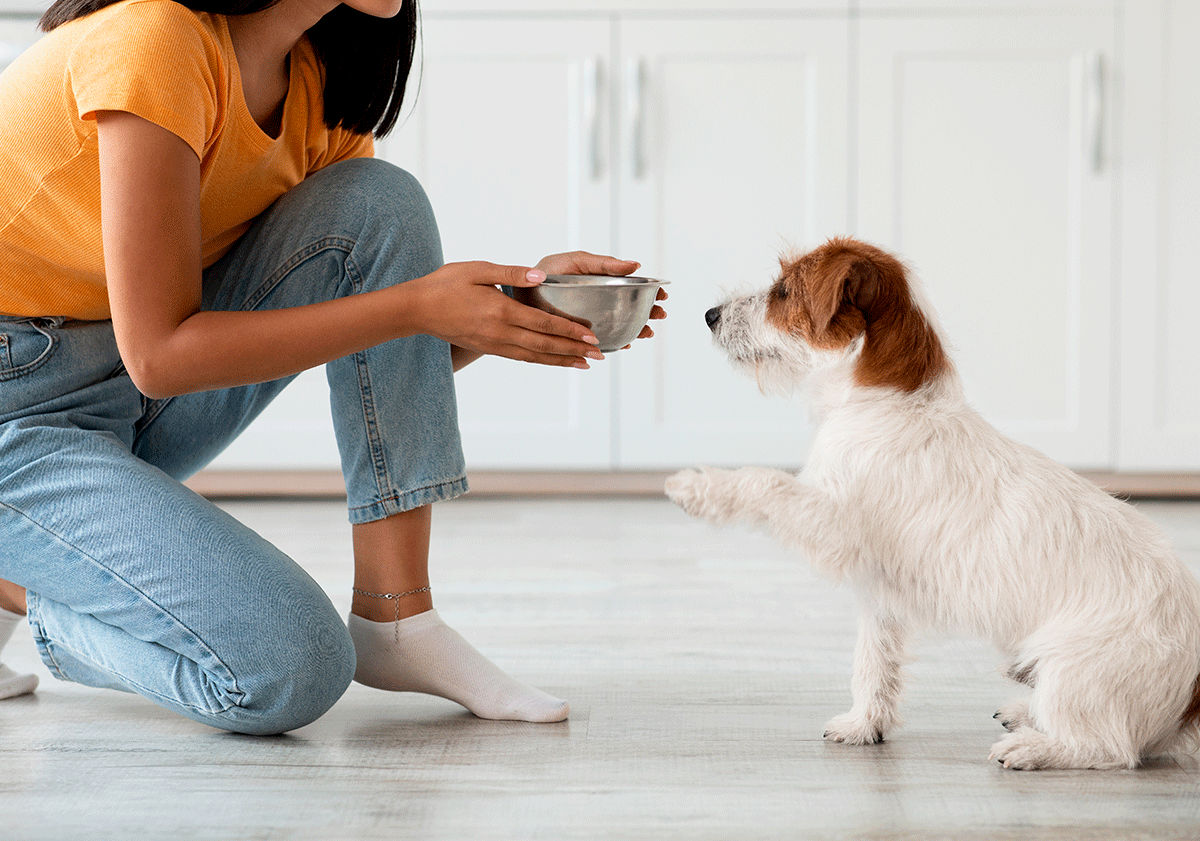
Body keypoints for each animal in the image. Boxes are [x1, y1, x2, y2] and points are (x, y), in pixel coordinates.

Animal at [667, 235, 1200, 767]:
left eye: (782, 291)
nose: (710, 314)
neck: (886, 401)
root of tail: (1191, 697)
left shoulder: (833, 524)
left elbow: (766, 482)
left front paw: (696, 487)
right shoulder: (879, 591)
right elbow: (873, 660)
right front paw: (865, 724)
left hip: (1074, 669)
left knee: (1107, 746)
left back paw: (1030, 747)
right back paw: (1022, 713)